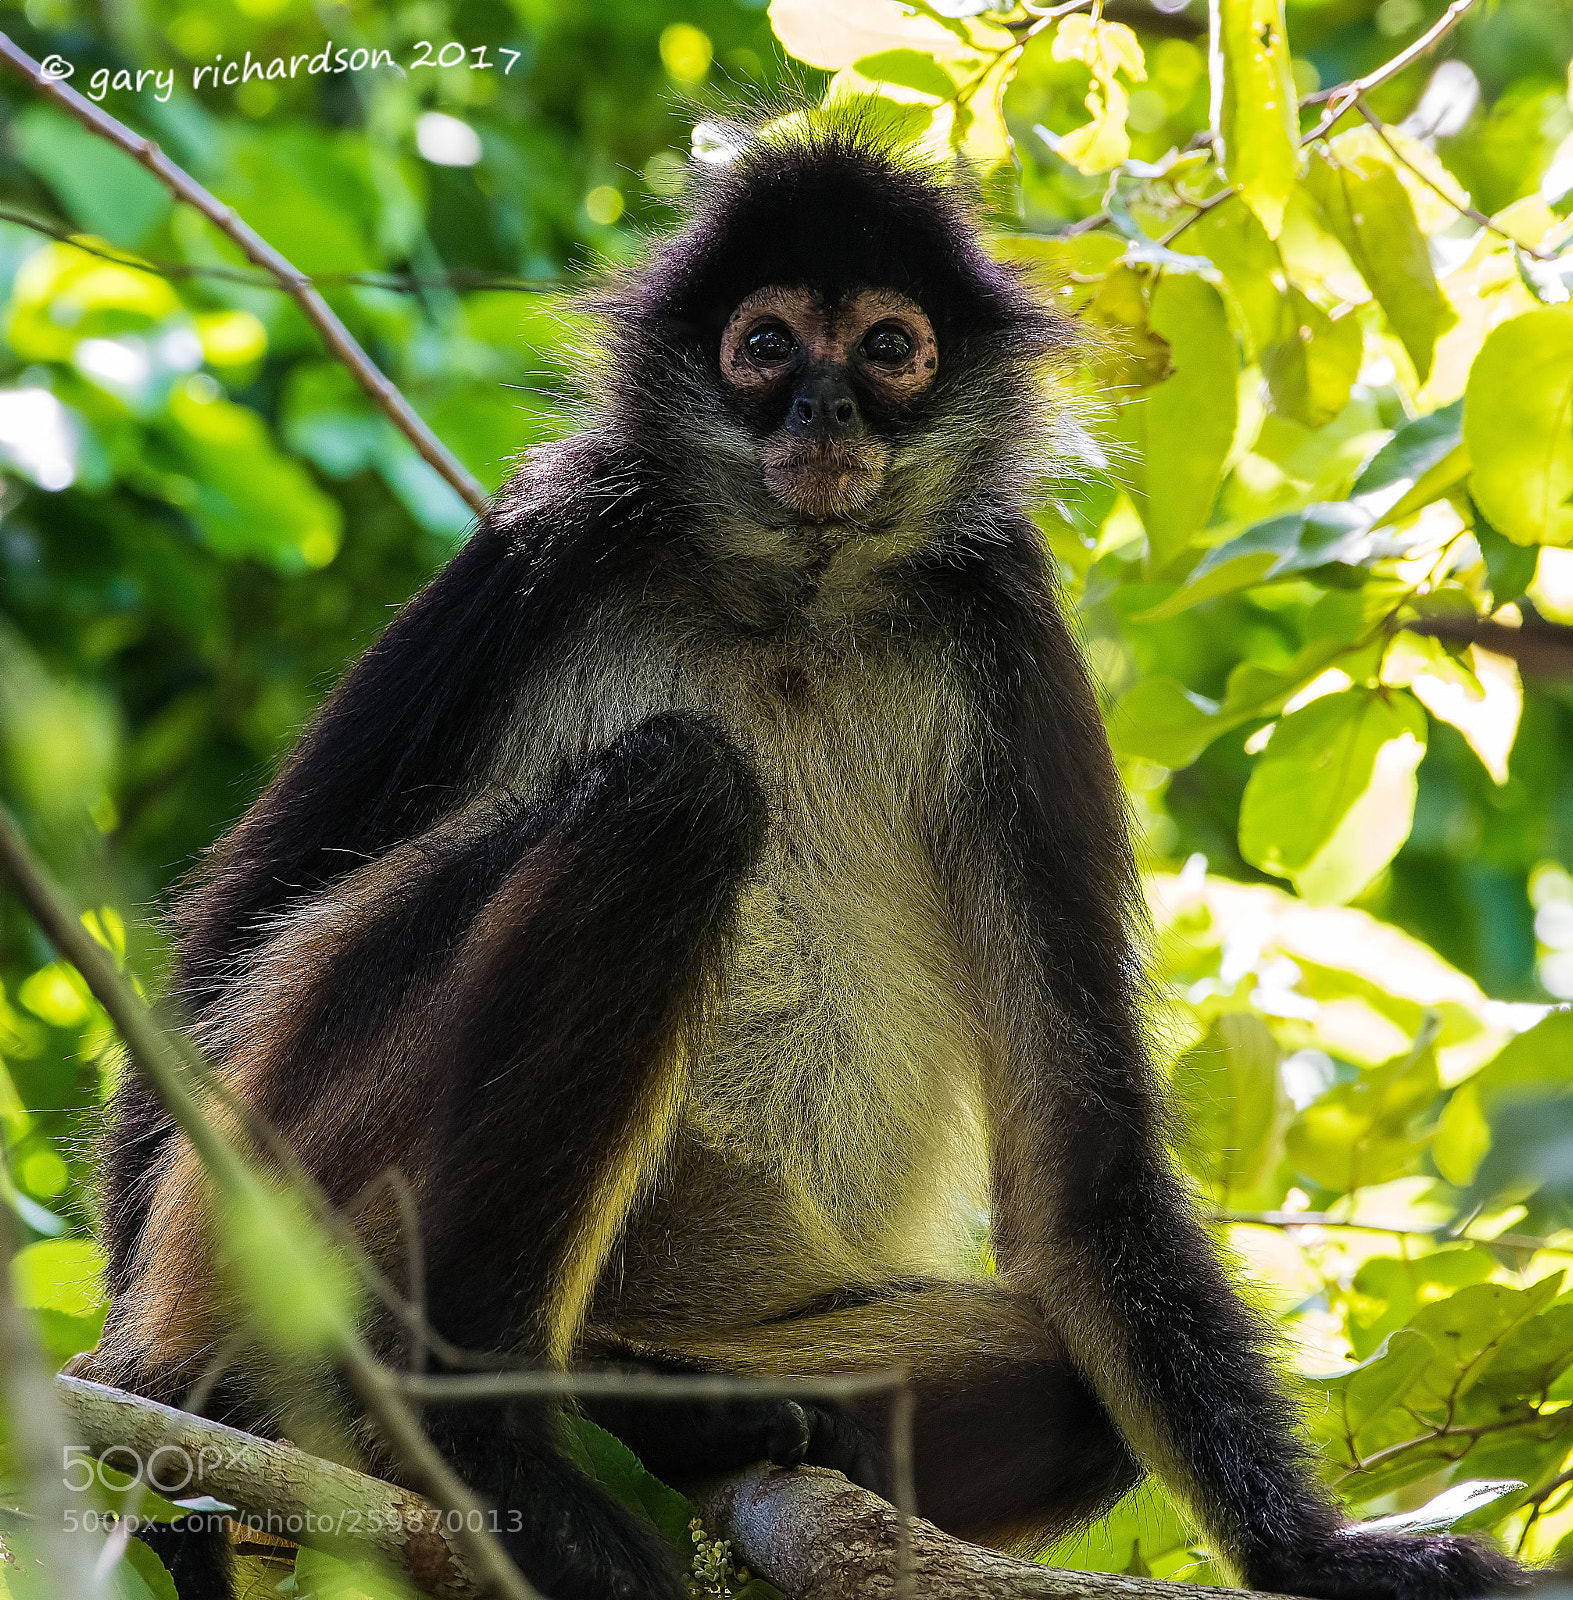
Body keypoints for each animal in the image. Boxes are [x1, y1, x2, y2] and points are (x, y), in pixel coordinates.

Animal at [80, 116, 1525, 1600]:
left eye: (888, 348)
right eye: (766, 346)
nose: (822, 411)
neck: (796, 598)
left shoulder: (1004, 612)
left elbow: (1081, 1157)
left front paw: (1318, 1553)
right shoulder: (554, 532)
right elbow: (231, 946)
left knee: (1067, 1391)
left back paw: (652, 1414)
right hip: (268, 1171)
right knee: (675, 789)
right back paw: (468, 1434)